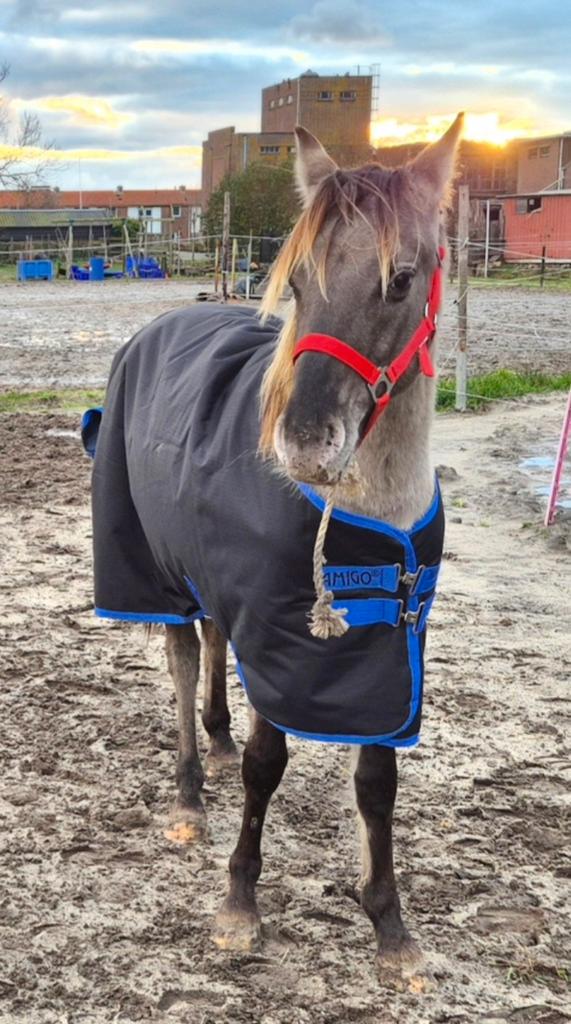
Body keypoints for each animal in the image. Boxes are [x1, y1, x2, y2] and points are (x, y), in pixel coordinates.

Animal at [84, 113, 463, 985]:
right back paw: (190, 792)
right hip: (157, 570)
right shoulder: (277, 626)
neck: (370, 515)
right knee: (184, 659)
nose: (302, 443)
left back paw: (216, 743)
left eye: (401, 280)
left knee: (211, 643)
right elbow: (268, 763)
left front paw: (389, 922)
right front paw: (238, 905)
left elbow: (377, 780)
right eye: (294, 287)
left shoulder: (389, 649)